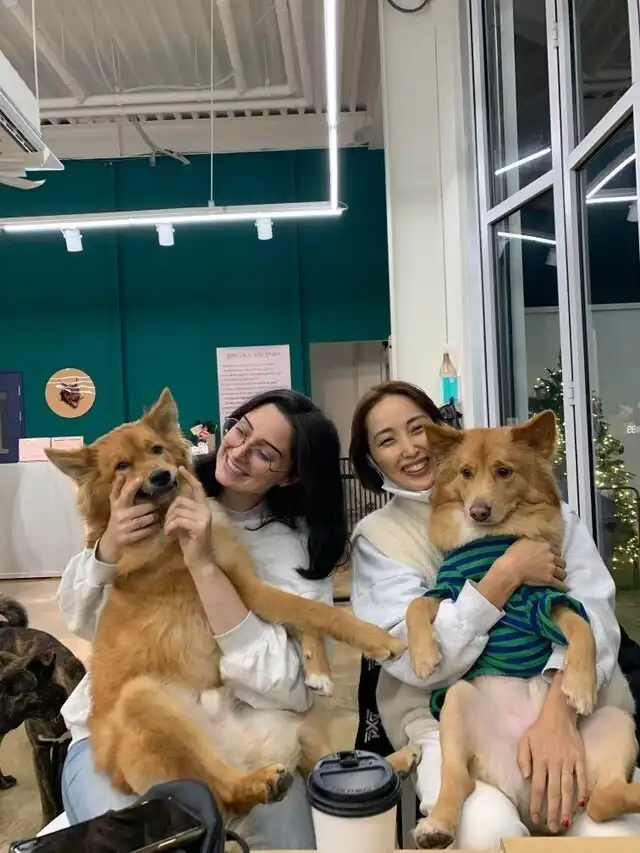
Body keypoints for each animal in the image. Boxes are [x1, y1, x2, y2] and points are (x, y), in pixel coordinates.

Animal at [0, 596, 86, 825]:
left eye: (13, 692)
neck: (51, 711)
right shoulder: (39, 750)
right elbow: (46, 794)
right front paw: (49, 820)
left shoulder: (62, 746)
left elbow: (55, 783)